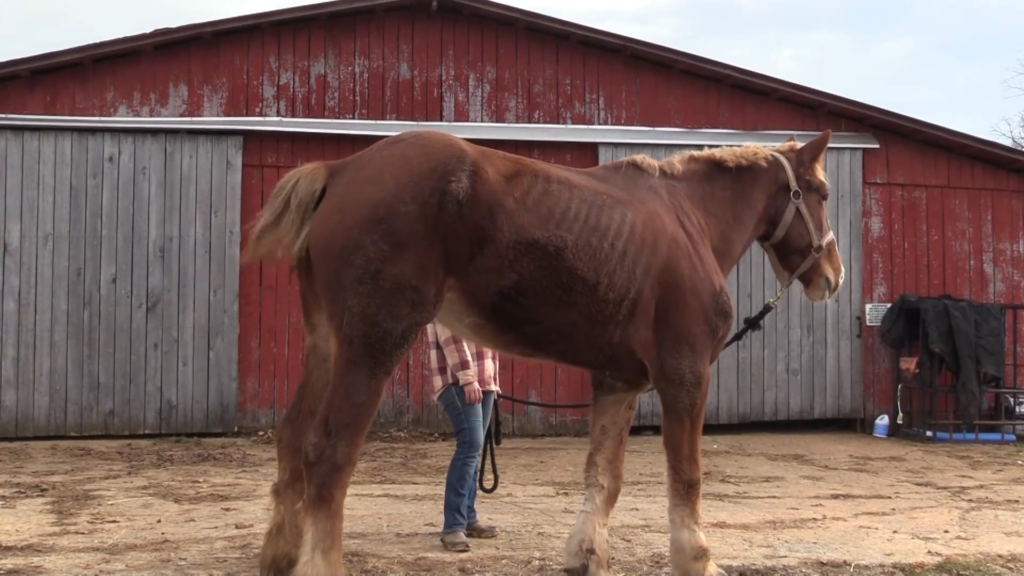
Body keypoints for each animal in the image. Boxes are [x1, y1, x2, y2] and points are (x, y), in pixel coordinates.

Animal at [243, 128, 844, 576]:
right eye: (821, 193)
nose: (832, 277)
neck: (688, 219)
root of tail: (340, 170)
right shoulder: (686, 373)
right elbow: (686, 476)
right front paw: (696, 559)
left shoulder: (618, 379)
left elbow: (604, 475)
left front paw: (585, 554)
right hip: (373, 341)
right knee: (330, 451)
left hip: (327, 342)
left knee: (292, 439)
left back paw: (280, 554)